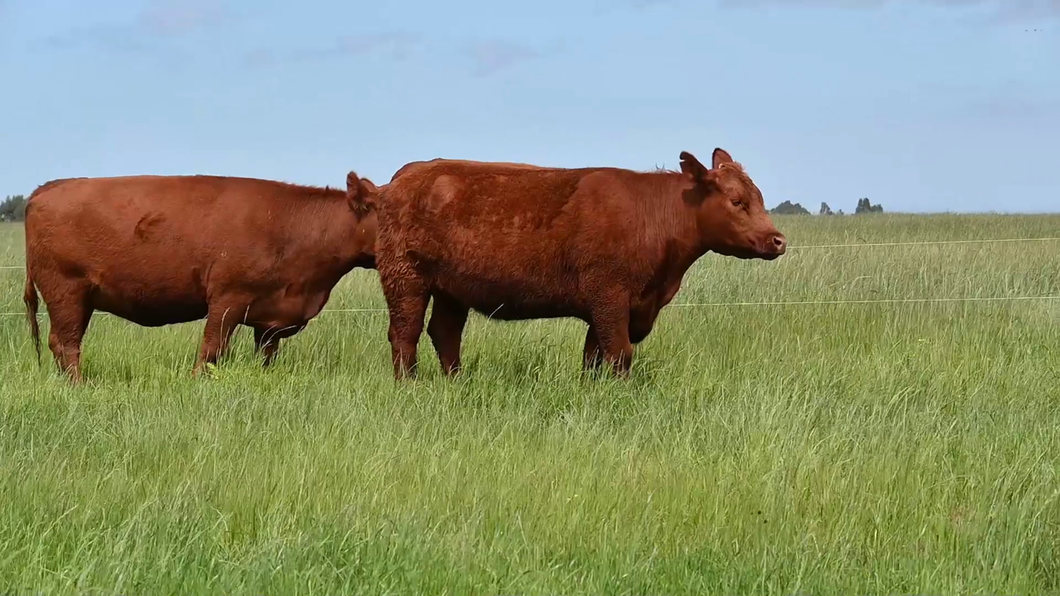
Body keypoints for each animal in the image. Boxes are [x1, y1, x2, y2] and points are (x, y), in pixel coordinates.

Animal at [21, 169, 381, 381]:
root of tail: (49, 188)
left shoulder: (270, 320)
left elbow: (266, 356)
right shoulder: (227, 300)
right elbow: (212, 349)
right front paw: (197, 382)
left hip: (80, 300)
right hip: (66, 292)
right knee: (66, 343)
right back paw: (78, 385)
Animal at [368, 148, 784, 379]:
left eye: (759, 197)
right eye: (736, 201)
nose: (778, 240)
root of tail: (404, 176)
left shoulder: (613, 307)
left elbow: (594, 356)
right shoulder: (610, 297)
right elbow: (619, 354)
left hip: (452, 290)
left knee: (445, 334)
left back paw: (457, 383)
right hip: (406, 278)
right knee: (405, 334)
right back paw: (410, 385)